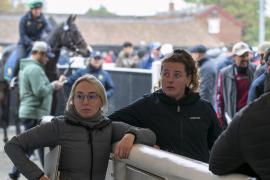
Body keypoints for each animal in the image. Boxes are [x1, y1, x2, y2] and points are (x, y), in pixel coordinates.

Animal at [0, 14, 90, 142]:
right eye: (74, 32)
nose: (88, 51)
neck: (46, 64)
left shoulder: (54, 94)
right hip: (5, 90)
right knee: (9, 112)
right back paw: (7, 137)